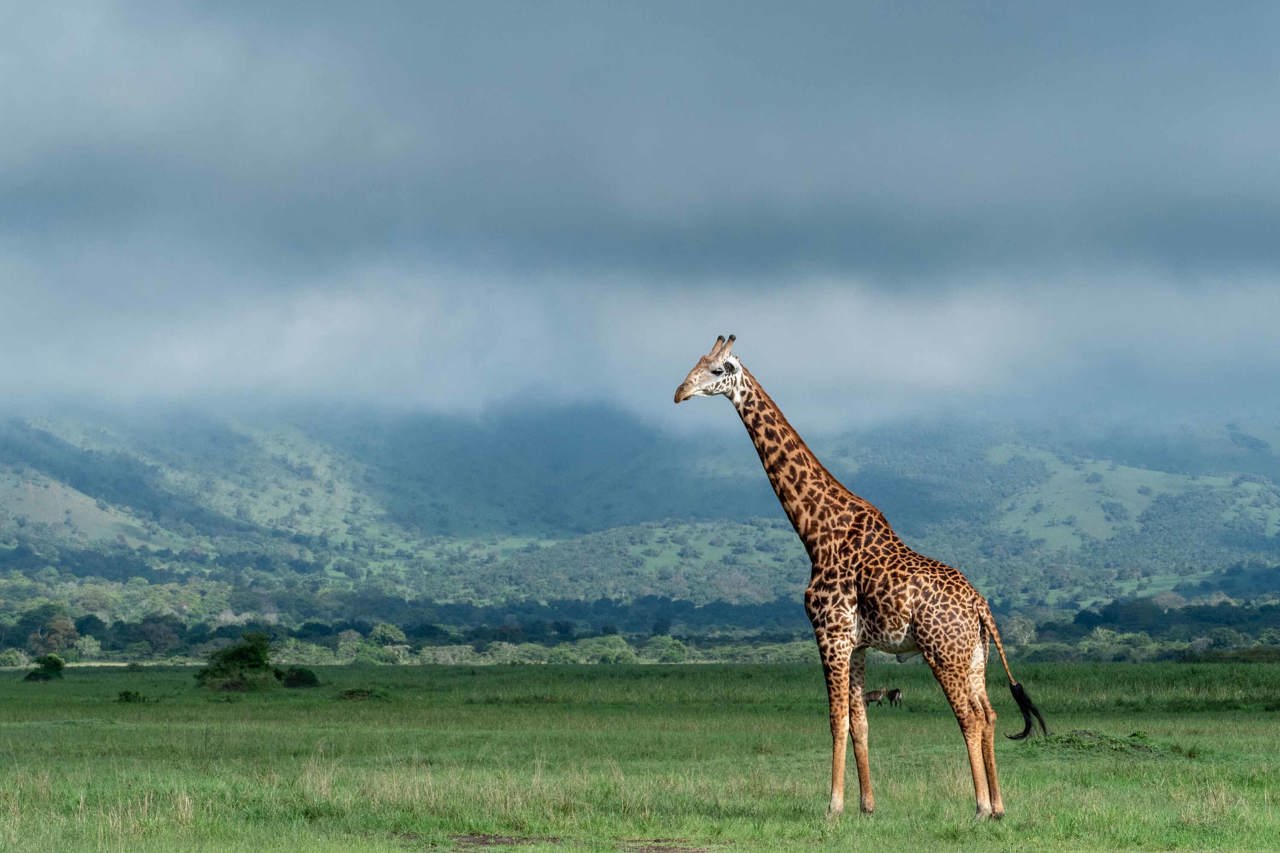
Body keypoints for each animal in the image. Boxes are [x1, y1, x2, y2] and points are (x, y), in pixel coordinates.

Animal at [674, 334, 1047, 820]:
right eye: (696, 362)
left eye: (718, 369)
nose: (679, 392)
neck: (815, 531)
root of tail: (981, 605)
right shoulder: (857, 645)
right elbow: (860, 722)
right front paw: (867, 804)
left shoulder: (828, 633)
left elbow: (835, 719)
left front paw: (832, 805)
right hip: (975, 655)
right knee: (991, 714)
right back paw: (1000, 805)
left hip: (942, 652)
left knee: (969, 716)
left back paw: (981, 806)